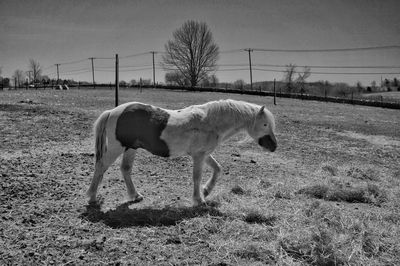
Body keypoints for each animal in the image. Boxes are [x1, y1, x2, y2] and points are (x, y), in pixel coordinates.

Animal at [86, 99, 276, 206]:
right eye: (265, 124)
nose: (274, 146)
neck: (210, 122)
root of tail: (113, 111)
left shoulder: (204, 154)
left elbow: (218, 169)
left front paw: (206, 191)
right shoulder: (198, 156)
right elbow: (197, 177)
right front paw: (199, 199)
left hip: (130, 148)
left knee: (125, 169)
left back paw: (135, 195)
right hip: (117, 148)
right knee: (101, 167)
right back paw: (92, 197)